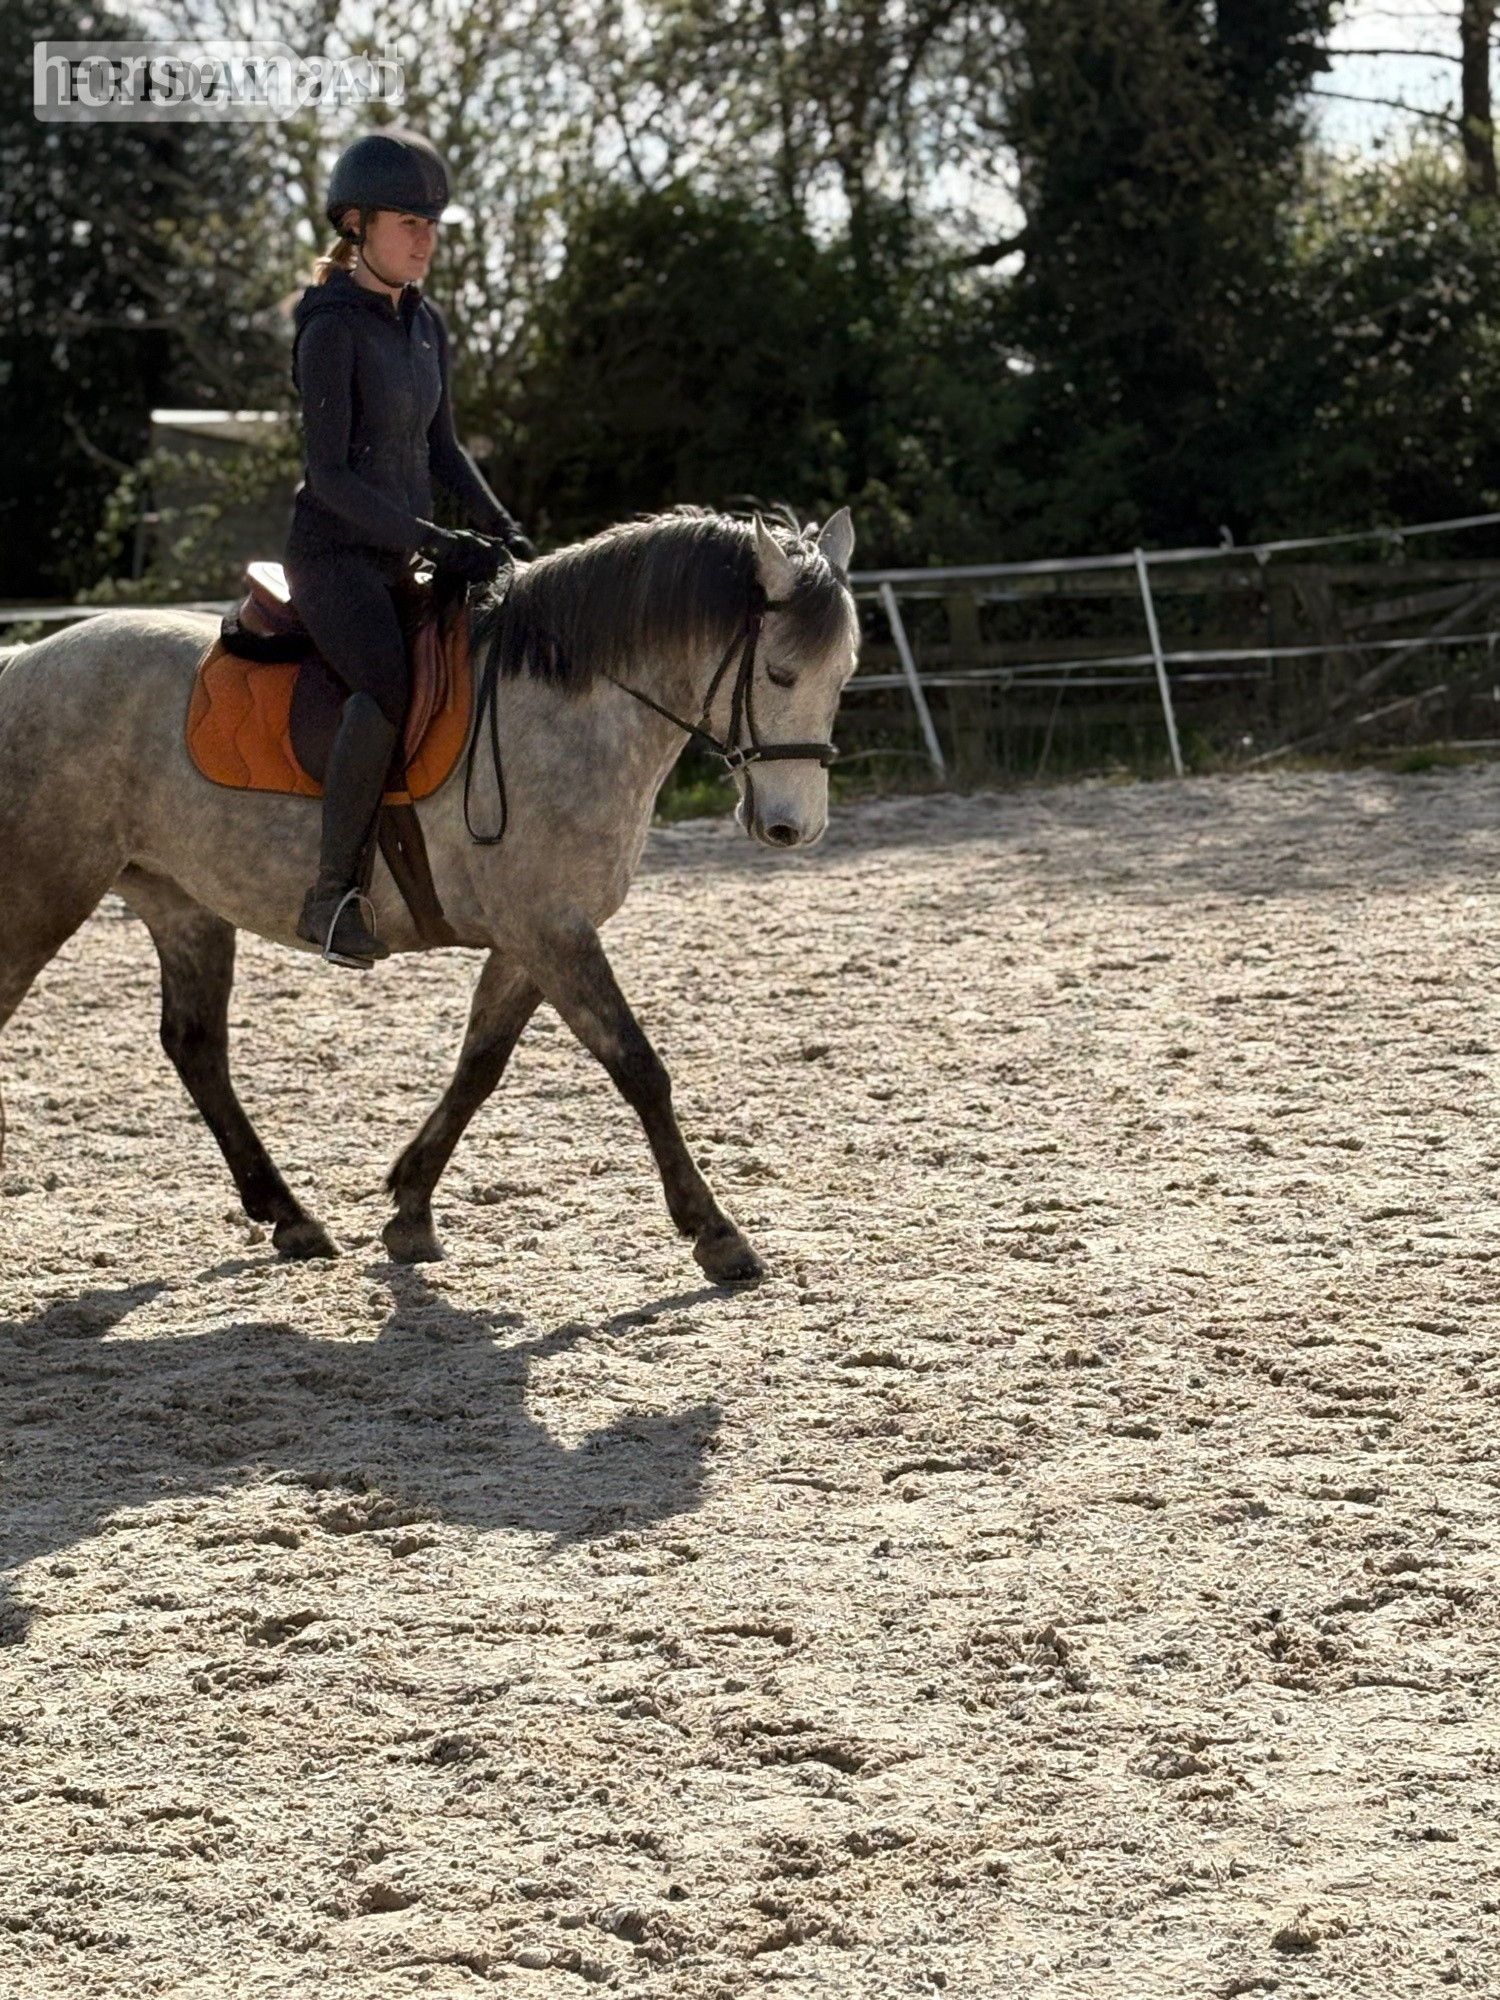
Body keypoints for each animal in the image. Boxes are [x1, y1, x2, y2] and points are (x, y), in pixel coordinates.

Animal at [0, 506, 859, 1284]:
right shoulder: (551, 928)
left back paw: (291, 1217)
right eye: (779, 673)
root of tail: (22, 661)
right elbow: (637, 1065)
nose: (792, 827)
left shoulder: (532, 936)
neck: (571, 706)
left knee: (195, 1047)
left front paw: (411, 1209)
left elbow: (480, 1063)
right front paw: (715, 1232)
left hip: (181, 903)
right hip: (44, 893)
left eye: (843, 675)